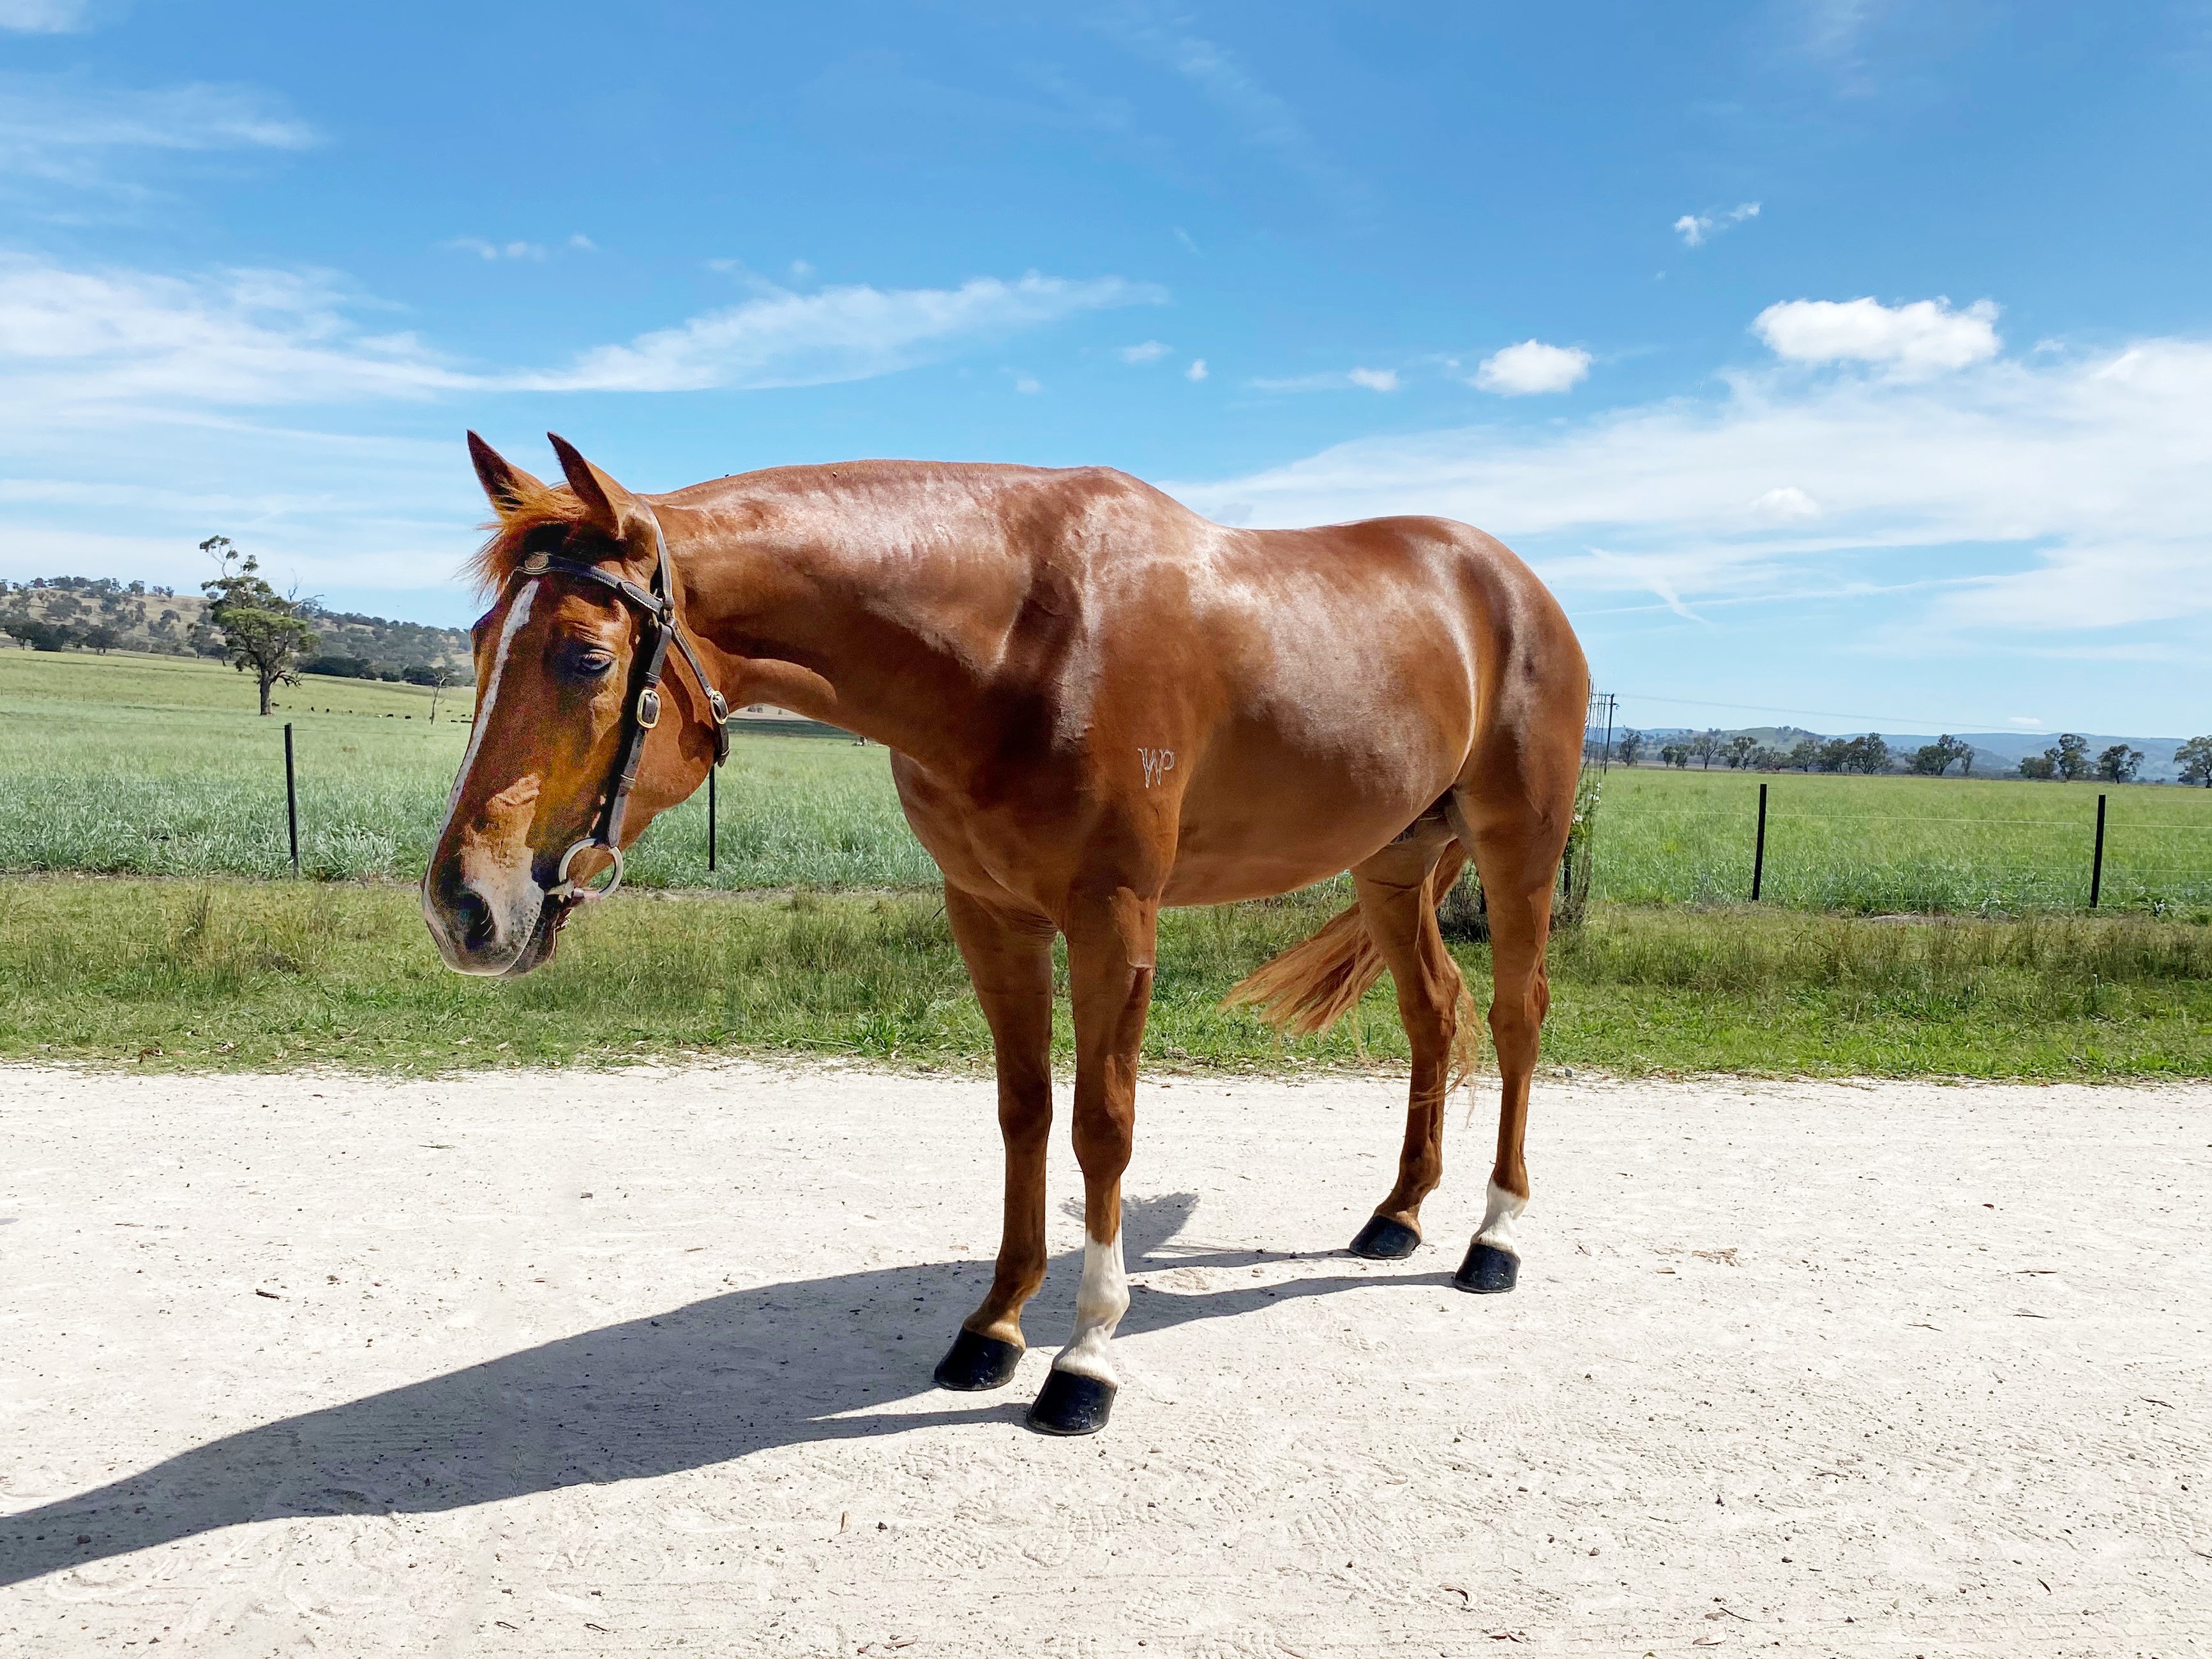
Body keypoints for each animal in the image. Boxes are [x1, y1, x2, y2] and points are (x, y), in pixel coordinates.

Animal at [424, 433, 1590, 1436]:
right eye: (478, 643)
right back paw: (1397, 1214)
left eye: (585, 657)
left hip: (1518, 846)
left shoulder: (1113, 915)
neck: (1023, 640)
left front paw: (1085, 1357)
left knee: (1515, 1014)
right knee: (1432, 1014)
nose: (462, 906)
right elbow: (1023, 1111)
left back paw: (1493, 1237)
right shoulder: (990, 912)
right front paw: (993, 1327)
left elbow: (1102, 1124)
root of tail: (1511, 583)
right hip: (1392, 864)